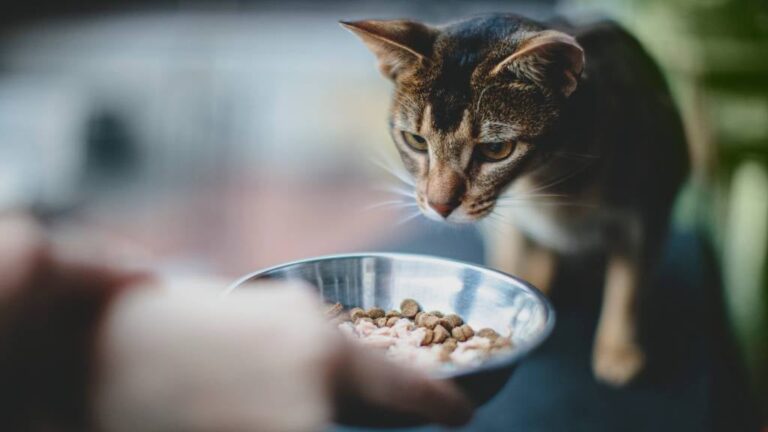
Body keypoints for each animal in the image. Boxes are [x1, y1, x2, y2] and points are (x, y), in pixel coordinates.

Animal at [344, 14, 688, 384]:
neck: (553, 185)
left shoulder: (646, 213)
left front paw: (618, 352)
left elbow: (627, 289)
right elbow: (512, 260)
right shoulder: (511, 225)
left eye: (496, 149)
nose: (440, 206)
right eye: (416, 141)